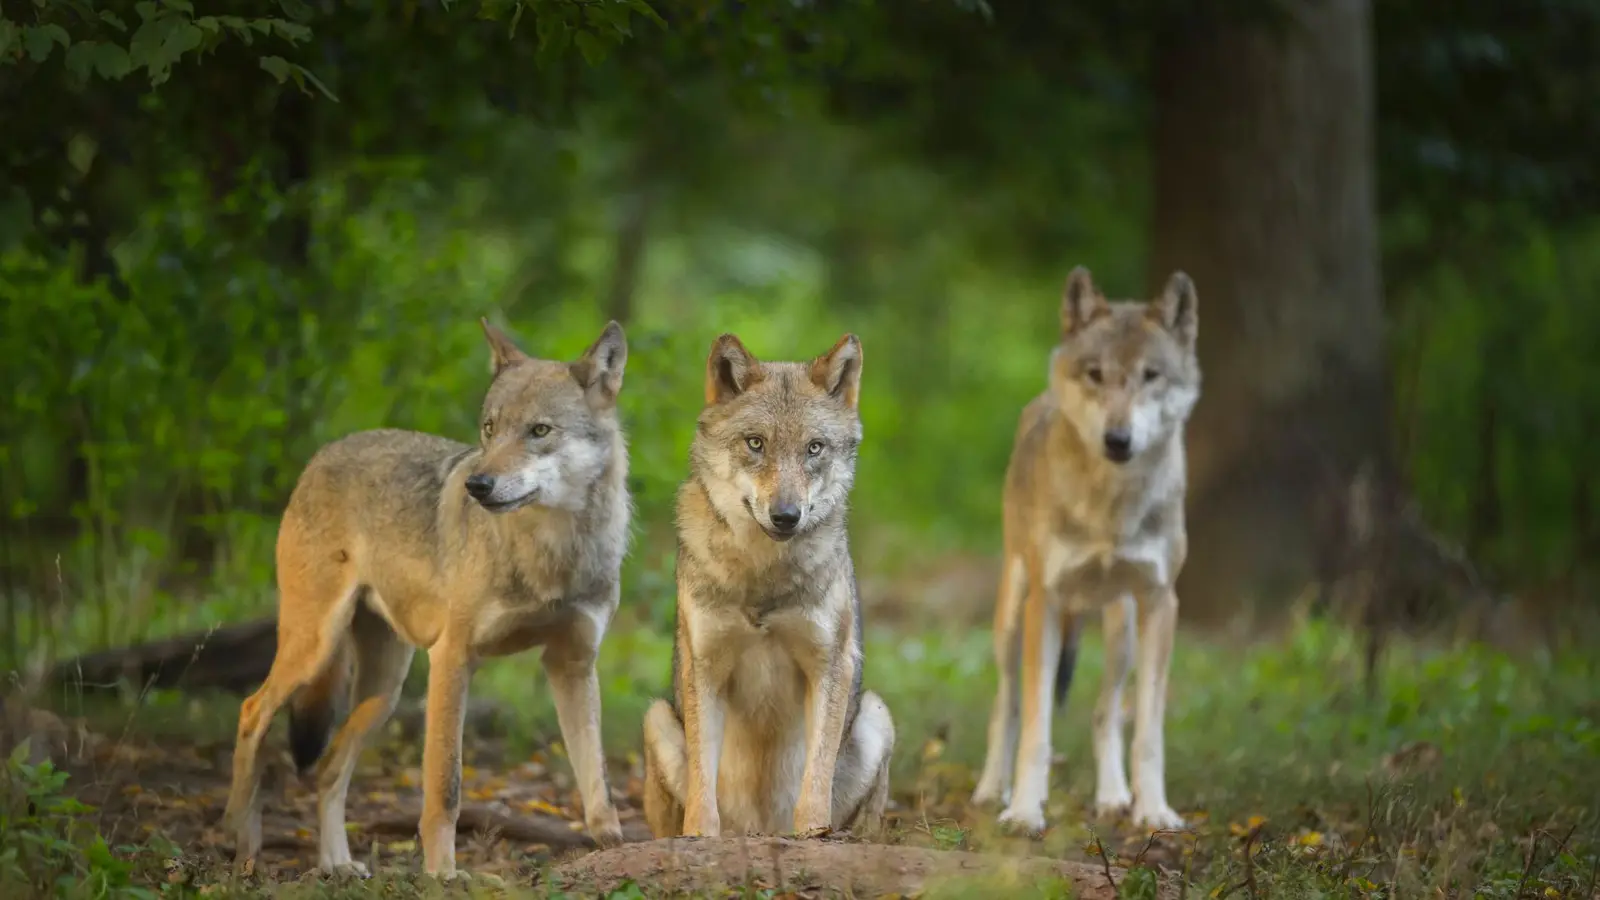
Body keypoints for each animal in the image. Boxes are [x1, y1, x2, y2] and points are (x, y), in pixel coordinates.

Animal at [224, 317, 630, 877]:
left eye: (539, 431)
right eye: (489, 429)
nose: (478, 485)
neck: (552, 555)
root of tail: (326, 451)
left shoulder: (571, 662)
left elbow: (598, 784)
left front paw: (616, 851)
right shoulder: (453, 658)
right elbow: (445, 788)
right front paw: (442, 873)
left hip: (384, 693)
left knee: (329, 766)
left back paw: (337, 865)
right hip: (315, 649)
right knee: (252, 712)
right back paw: (244, 850)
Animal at [646, 333, 902, 839]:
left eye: (814, 448)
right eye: (756, 443)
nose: (786, 516)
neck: (761, 576)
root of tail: (760, 828)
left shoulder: (830, 662)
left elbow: (816, 778)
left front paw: (813, 835)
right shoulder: (704, 665)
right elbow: (703, 783)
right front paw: (700, 836)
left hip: (877, 716)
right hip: (657, 718)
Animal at [960, 265, 1203, 832]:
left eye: (1151, 375)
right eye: (1095, 373)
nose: (1118, 439)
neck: (1110, 510)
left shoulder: (1162, 603)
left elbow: (1148, 733)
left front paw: (1153, 810)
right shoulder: (1044, 603)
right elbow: (1036, 728)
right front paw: (1024, 812)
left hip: (1122, 630)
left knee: (1105, 713)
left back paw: (1113, 797)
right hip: (1011, 619)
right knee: (1006, 706)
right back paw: (991, 791)